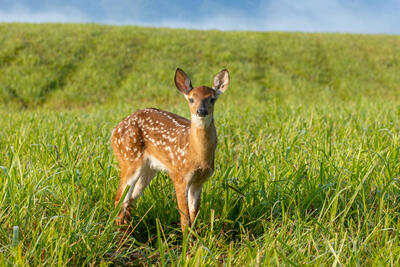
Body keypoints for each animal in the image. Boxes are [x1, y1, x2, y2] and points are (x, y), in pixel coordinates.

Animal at [111, 68, 231, 233]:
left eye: (212, 99)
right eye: (191, 99)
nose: (201, 111)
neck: (195, 154)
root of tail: (114, 131)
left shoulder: (199, 180)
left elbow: (194, 214)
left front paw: (196, 238)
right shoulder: (179, 176)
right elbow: (185, 218)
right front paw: (186, 239)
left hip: (149, 169)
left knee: (129, 199)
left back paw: (127, 232)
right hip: (128, 159)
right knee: (119, 198)